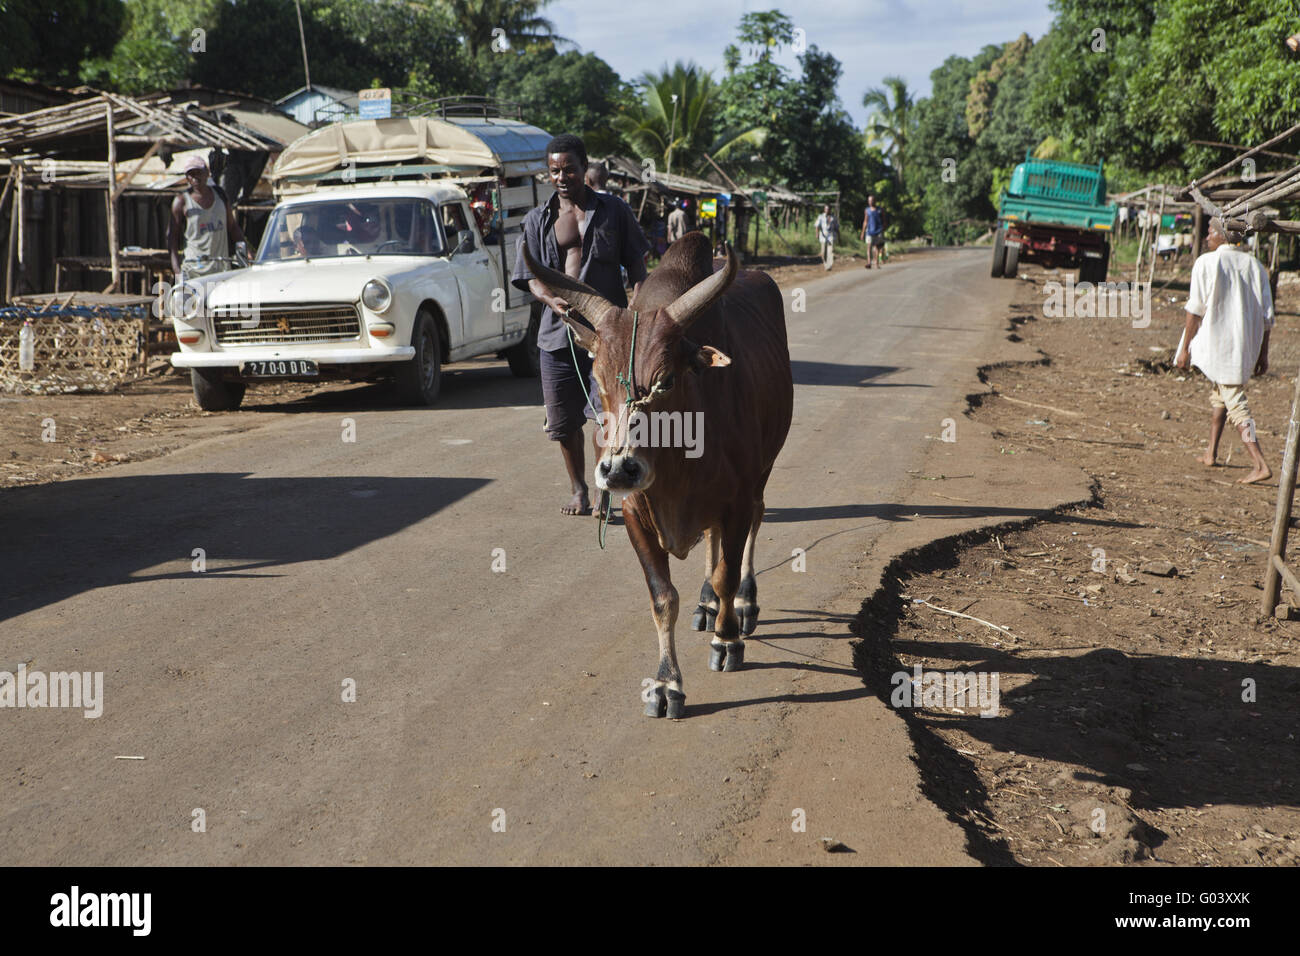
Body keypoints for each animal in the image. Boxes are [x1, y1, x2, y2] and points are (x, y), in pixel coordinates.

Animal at [520, 234, 790, 717]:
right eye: (597, 377)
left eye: (665, 381)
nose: (619, 468)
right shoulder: (634, 515)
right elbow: (663, 597)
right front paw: (666, 684)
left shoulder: (737, 501)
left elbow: (727, 571)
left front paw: (726, 640)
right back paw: (706, 605)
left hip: (764, 470)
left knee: (754, 528)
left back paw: (742, 604)